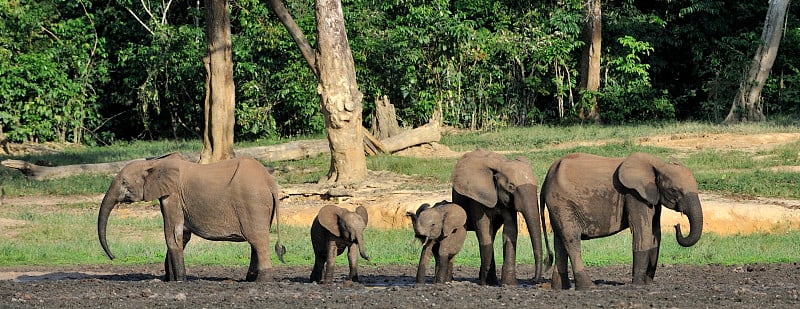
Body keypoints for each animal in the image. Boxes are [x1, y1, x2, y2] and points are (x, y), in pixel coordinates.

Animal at [97, 153, 286, 280]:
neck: (155, 162)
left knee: (258, 241)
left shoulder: (173, 196)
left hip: (254, 204)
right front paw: (169, 280)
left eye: (124, 182)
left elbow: (172, 235)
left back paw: (261, 281)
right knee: (256, 243)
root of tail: (270, 183)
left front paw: (180, 281)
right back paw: (250, 279)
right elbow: (182, 236)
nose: (114, 258)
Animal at [454, 148, 548, 286]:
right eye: (511, 187)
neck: (500, 166)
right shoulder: (478, 197)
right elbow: (483, 229)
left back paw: (491, 280)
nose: (533, 280)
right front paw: (484, 283)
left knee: (492, 234)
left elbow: (510, 231)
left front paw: (509, 285)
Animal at [540, 153, 704, 290]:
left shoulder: (651, 196)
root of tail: (547, 176)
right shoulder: (634, 194)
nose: (677, 225)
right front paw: (638, 285)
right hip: (562, 203)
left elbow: (655, 233)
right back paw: (588, 287)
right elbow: (642, 232)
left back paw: (560, 288)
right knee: (571, 240)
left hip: (558, 206)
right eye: (674, 190)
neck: (658, 165)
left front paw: (648, 283)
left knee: (560, 241)